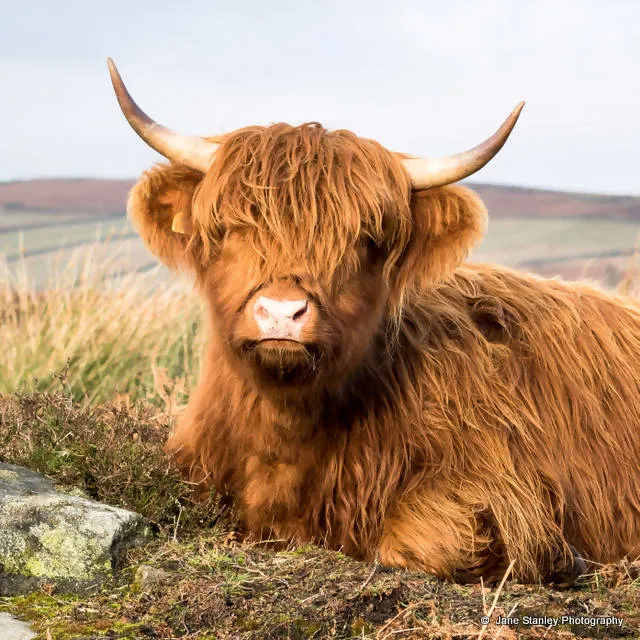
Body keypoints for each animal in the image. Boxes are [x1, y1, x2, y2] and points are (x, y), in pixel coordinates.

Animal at [109, 60, 640, 584]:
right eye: (229, 229)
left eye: (366, 239)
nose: (282, 311)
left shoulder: (501, 482)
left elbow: (422, 540)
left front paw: (560, 559)